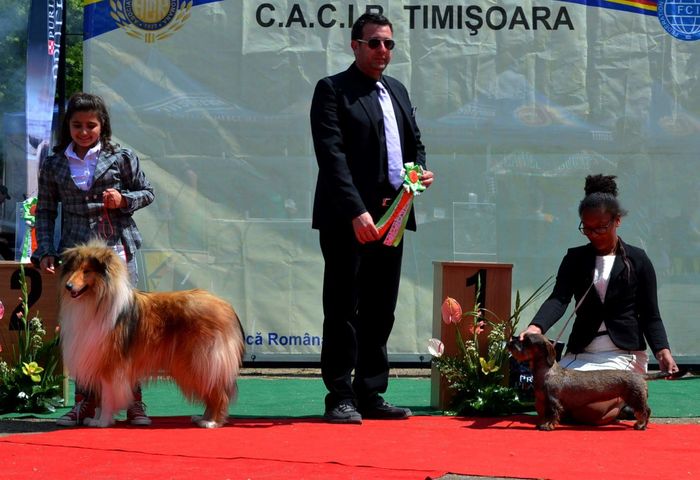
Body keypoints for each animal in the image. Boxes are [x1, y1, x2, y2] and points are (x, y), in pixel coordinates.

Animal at [60, 240, 246, 428]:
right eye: (73, 269)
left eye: (86, 271)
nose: (68, 286)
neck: (96, 301)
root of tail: (226, 306)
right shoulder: (95, 360)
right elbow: (99, 399)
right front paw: (96, 419)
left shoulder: (109, 365)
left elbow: (107, 398)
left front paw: (103, 422)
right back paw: (202, 418)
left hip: (201, 363)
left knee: (219, 394)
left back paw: (211, 422)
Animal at [506, 334, 664, 432]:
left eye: (527, 341)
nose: (509, 343)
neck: (547, 371)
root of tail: (640, 375)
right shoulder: (544, 401)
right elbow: (545, 414)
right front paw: (542, 423)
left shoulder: (553, 401)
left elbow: (552, 414)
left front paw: (548, 426)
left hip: (635, 397)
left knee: (645, 411)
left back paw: (641, 425)